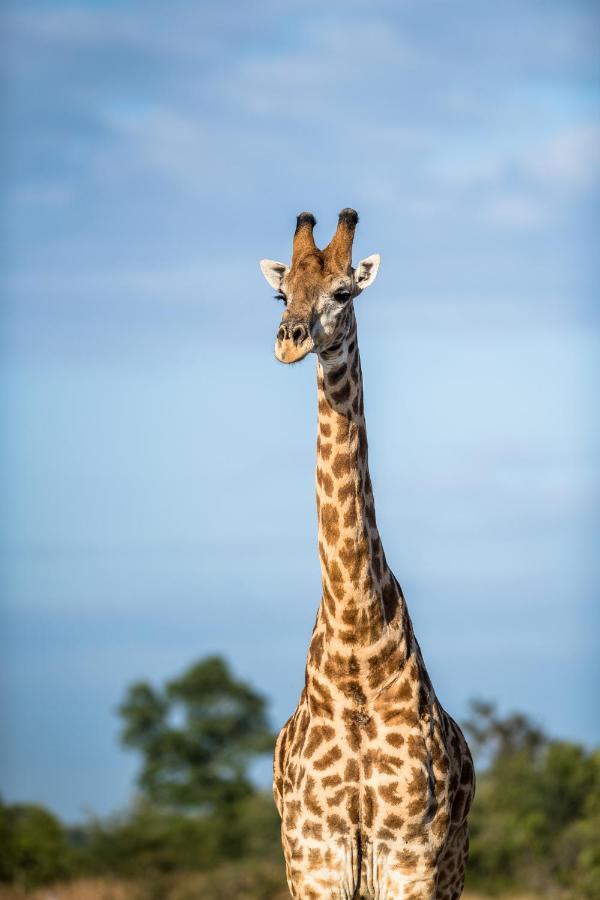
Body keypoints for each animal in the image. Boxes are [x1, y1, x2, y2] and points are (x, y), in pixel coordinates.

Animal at [260, 207, 476, 896]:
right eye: (281, 293)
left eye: (344, 293)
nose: (290, 340)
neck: (356, 648)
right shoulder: (315, 854)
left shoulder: (411, 854)